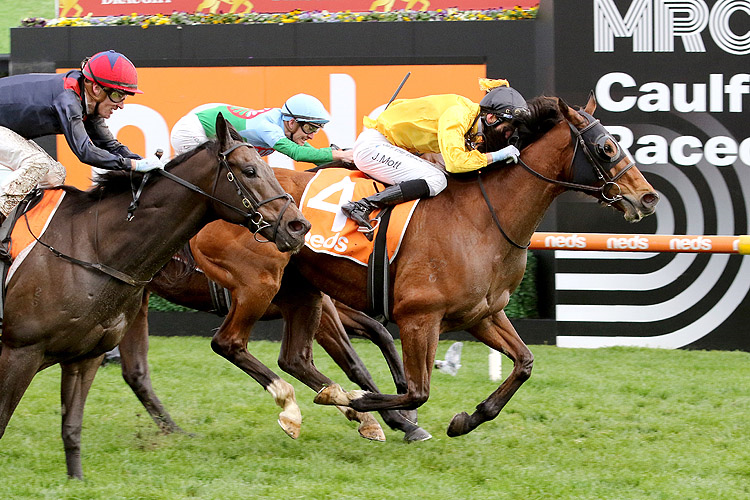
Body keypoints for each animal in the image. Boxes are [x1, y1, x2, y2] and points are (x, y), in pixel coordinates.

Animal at [0, 115, 312, 478]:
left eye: (267, 167)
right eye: (249, 171)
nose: (298, 226)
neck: (90, 245)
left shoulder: (84, 355)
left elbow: (72, 427)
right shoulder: (20, 350)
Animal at [116, 93, 656, 442]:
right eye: (607, 148)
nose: (647, 198)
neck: (483, 218)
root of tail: (211, 204)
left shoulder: (482, 313)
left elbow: (523, 363)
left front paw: (467, 418)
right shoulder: (420, 317)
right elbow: (415, 391)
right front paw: (366, 405)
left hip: (300, 292)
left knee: (290, 357)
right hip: (258, 284)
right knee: (231, 343)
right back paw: (306, 406)